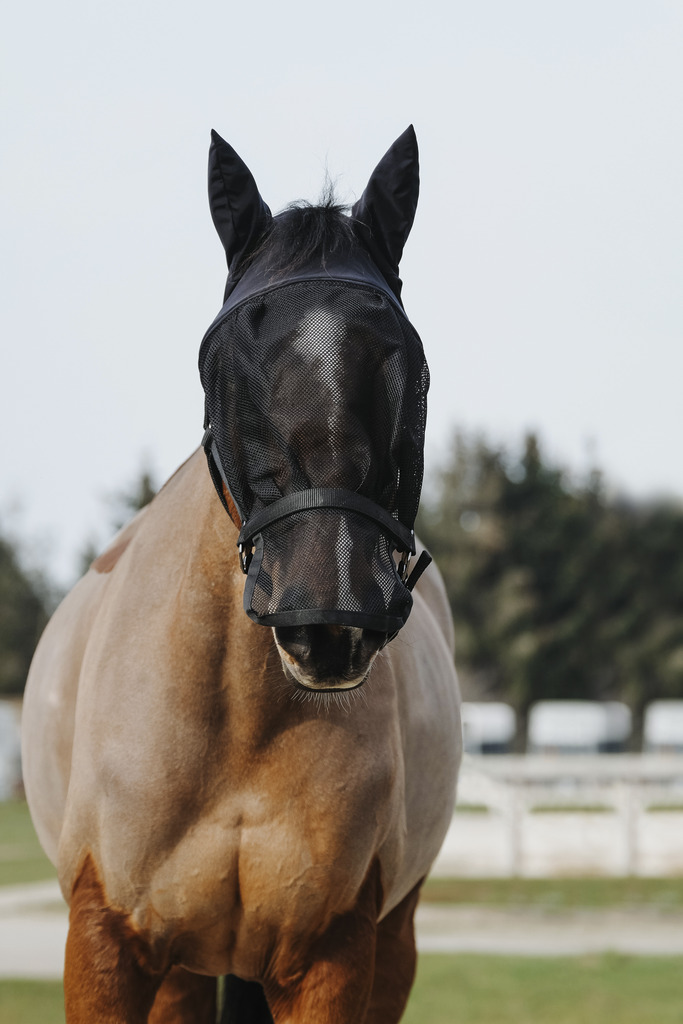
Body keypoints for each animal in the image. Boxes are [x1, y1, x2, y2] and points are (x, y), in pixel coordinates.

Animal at [21, 126, 461, 1024]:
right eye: (224, 353)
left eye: (408, 356)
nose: (327, 616)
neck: (238, 725)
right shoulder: (105, 945)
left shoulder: (333, 956)